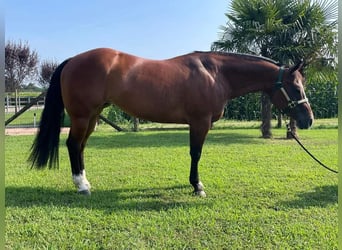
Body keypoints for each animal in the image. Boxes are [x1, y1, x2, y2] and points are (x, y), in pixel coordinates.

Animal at [28, 47, 312, 196]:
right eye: (295, 87)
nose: (308, 119)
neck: (215, 74)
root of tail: (73, 60)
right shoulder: (199, 122)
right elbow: (195, 153)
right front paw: (197, 186)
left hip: (94, 116)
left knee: (81, 147)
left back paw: (85, 182)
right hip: (82, 116)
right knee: (73, 145)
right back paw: (81, 186)